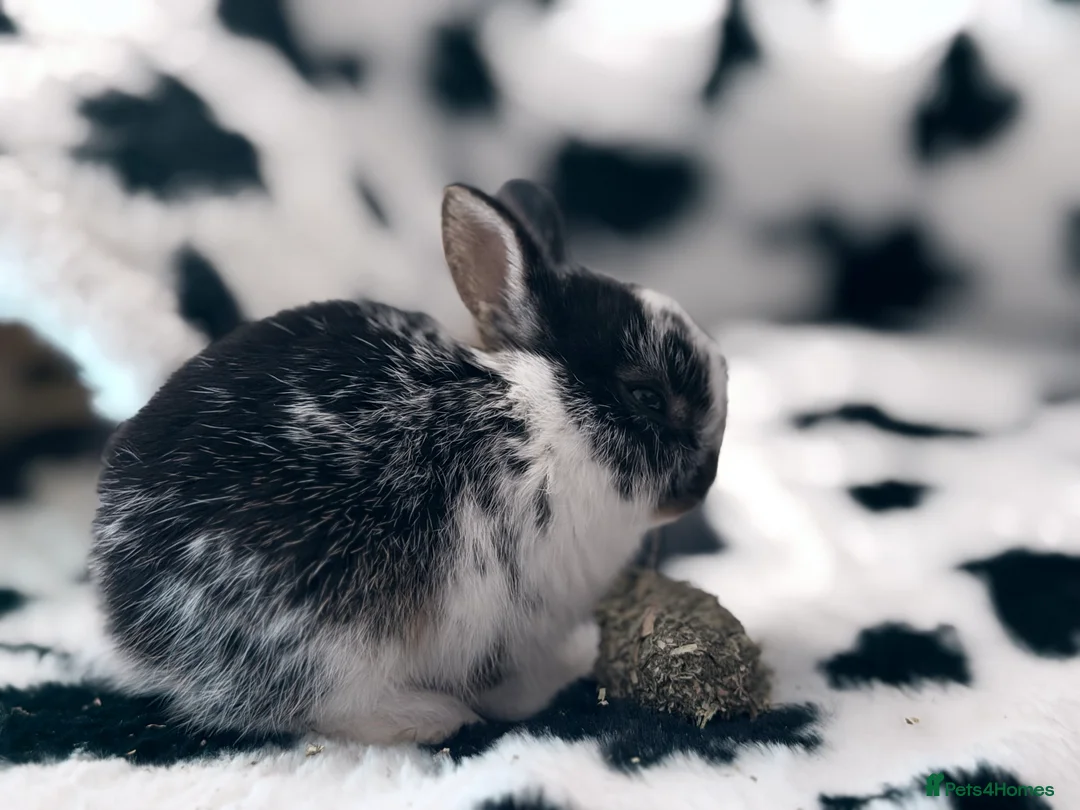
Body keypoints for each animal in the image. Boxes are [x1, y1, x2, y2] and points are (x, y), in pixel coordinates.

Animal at [88, 178, 729, 745]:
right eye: (646, 397)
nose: (698, 489)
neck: (545, 414)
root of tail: (131, 615)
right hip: (331, 631)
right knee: (331, 706)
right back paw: (433, 717)